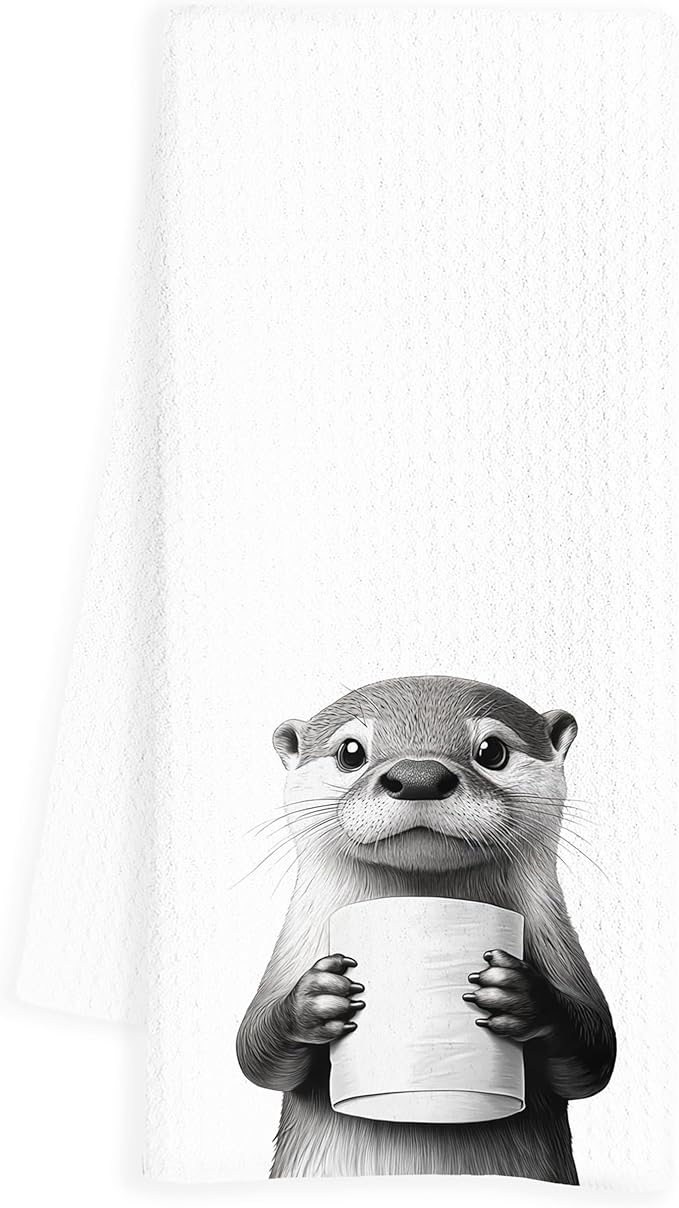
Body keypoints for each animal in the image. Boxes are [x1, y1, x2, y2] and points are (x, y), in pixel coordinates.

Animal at [237, 676, 615, 1183]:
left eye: (492, 750)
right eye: (351, 751)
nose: (419, 776)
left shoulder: (560, 945)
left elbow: (595, 1053)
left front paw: (519, 994)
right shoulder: (290, 952)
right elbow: (253, 1049)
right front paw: (317, 998)